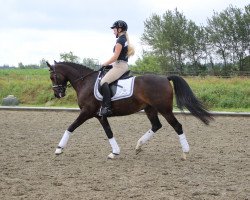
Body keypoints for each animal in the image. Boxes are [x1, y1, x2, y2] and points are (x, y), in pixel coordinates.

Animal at [47, 61, 213, 160]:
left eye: (52, 77)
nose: (58, 94)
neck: (85, 82)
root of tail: (165, 78)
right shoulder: (100, 116)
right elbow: (109, 132)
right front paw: (115, 152)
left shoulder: (87, 112)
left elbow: (71, 127)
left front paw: (59, 149)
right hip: (150, 109)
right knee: (156, 125)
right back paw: (139, 146)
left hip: (165, 110)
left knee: (177, 126)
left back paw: (185, 152)